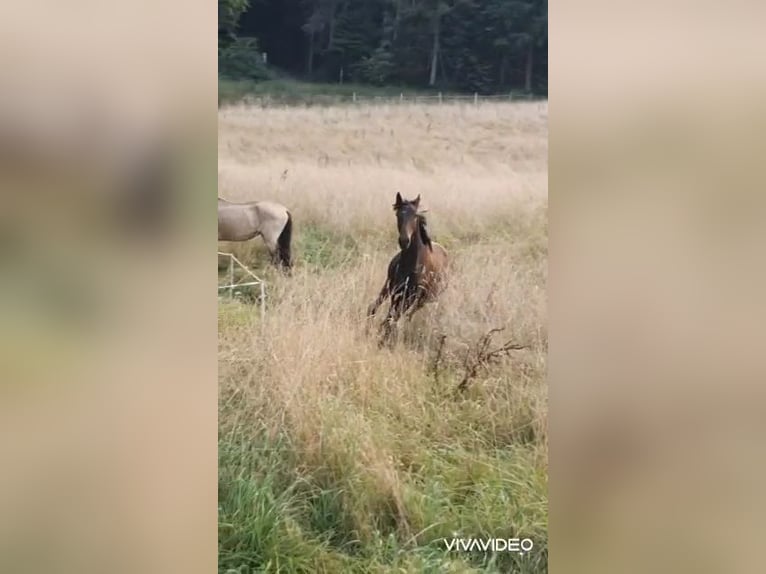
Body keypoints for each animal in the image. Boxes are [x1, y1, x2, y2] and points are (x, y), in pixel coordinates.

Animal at [368, 194, 448, 346]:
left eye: (415, 216)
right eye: (398, 214)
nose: (404, 241)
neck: (410, 265)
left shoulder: (410, 295)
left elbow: (391, 319)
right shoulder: (391, 287)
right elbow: (374, 309)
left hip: (424, 299)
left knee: (405, 316)